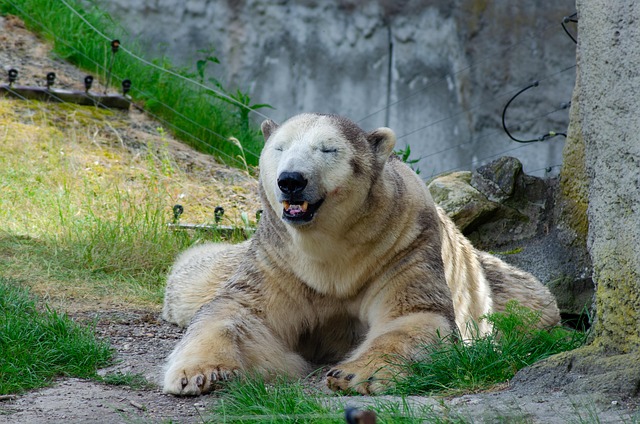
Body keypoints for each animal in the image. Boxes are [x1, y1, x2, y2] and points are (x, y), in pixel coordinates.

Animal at [162, 113, 560, 396]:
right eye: (279, 147)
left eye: (328, 149)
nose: (291, 180)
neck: (330, 247)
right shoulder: (279, 260)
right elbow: (236, 311)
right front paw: (199, 374)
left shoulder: (403, 248)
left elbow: (413, 316)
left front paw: (354, 374)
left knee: (530, 303)